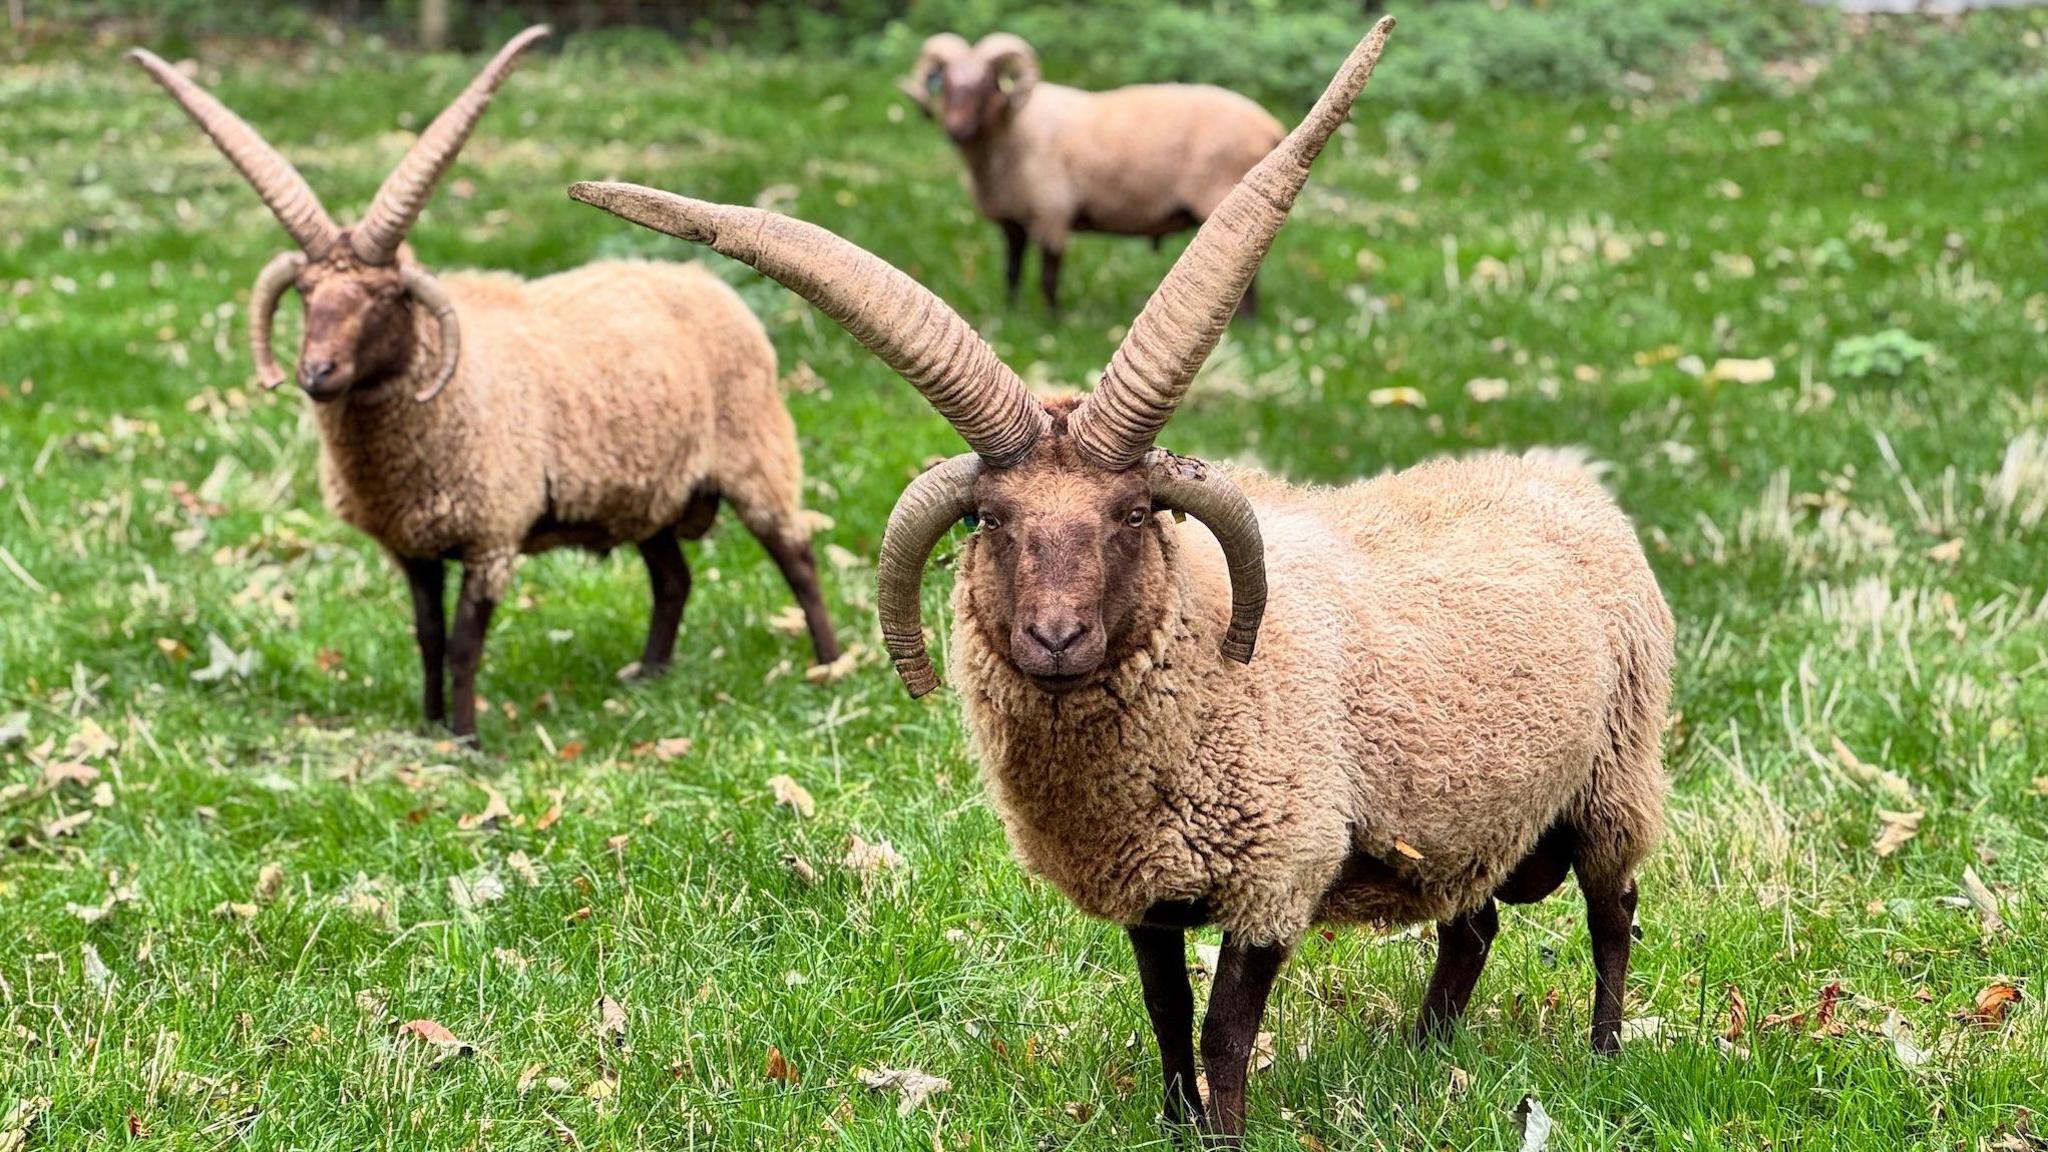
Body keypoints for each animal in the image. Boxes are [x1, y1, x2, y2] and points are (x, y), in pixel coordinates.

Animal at [132, 27, 840, 743]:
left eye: (386, 297)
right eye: (306, 292)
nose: (317, 374)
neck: (445, 400)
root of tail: (708, 285)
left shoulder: (490, 534)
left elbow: (466, 645)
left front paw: (467, 738)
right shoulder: (412, 547)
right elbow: (428, 636)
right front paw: (429, 724)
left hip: (757, 456)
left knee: (797, 556)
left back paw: (829, 666)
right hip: (651, 492)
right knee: (674, 578)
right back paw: (649, 675)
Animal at [899, 31, 1284, 317]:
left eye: (987, 84)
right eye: (947, 84)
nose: (955, 130)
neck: (1014, 132)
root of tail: (1270, 126)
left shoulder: (1052, 211)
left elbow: (1049, 275)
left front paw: (1052, 321)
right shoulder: (1013, 219)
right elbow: (1011, 271)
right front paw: (1012, 312)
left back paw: (1248, 324)